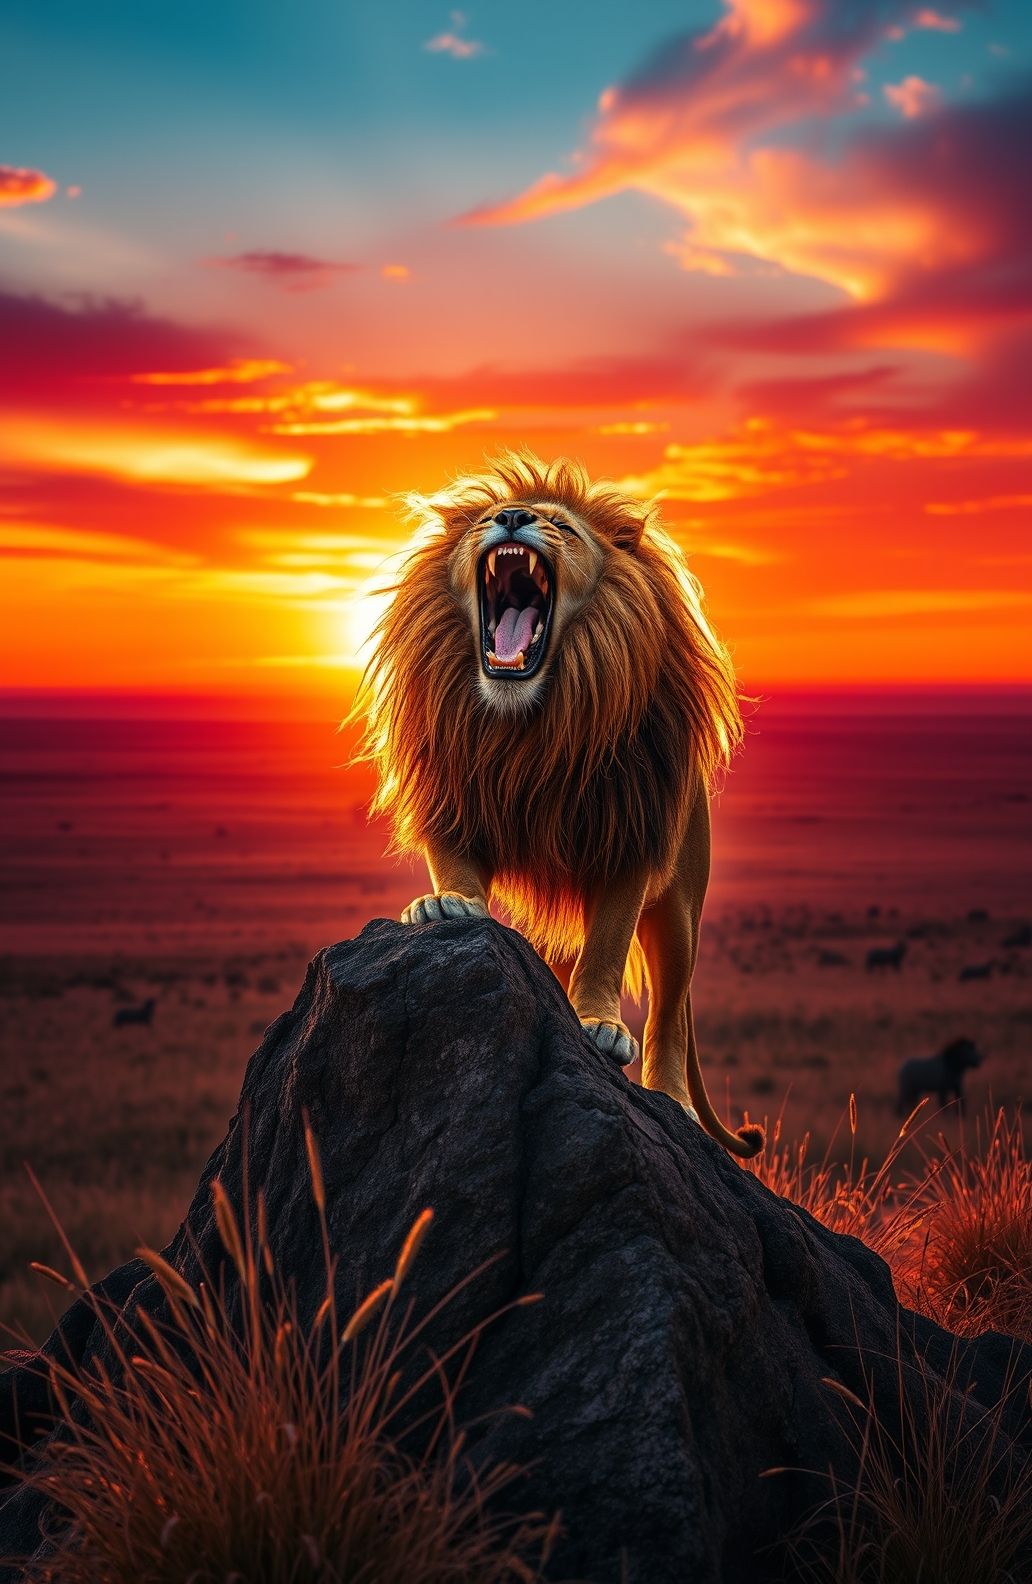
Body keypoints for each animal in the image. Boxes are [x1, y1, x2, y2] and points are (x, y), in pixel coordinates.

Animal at [355, 450, 764, 1158]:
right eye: (489, 519)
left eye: (563, 528)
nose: (513, 517)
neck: (530, 724)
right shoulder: (454, 797)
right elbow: (457, 869)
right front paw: (444, 905)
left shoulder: (630, 837)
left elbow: (607, 944)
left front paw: (598, 1023)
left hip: (681, 909)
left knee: (670, 1014)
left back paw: (675, 1101)